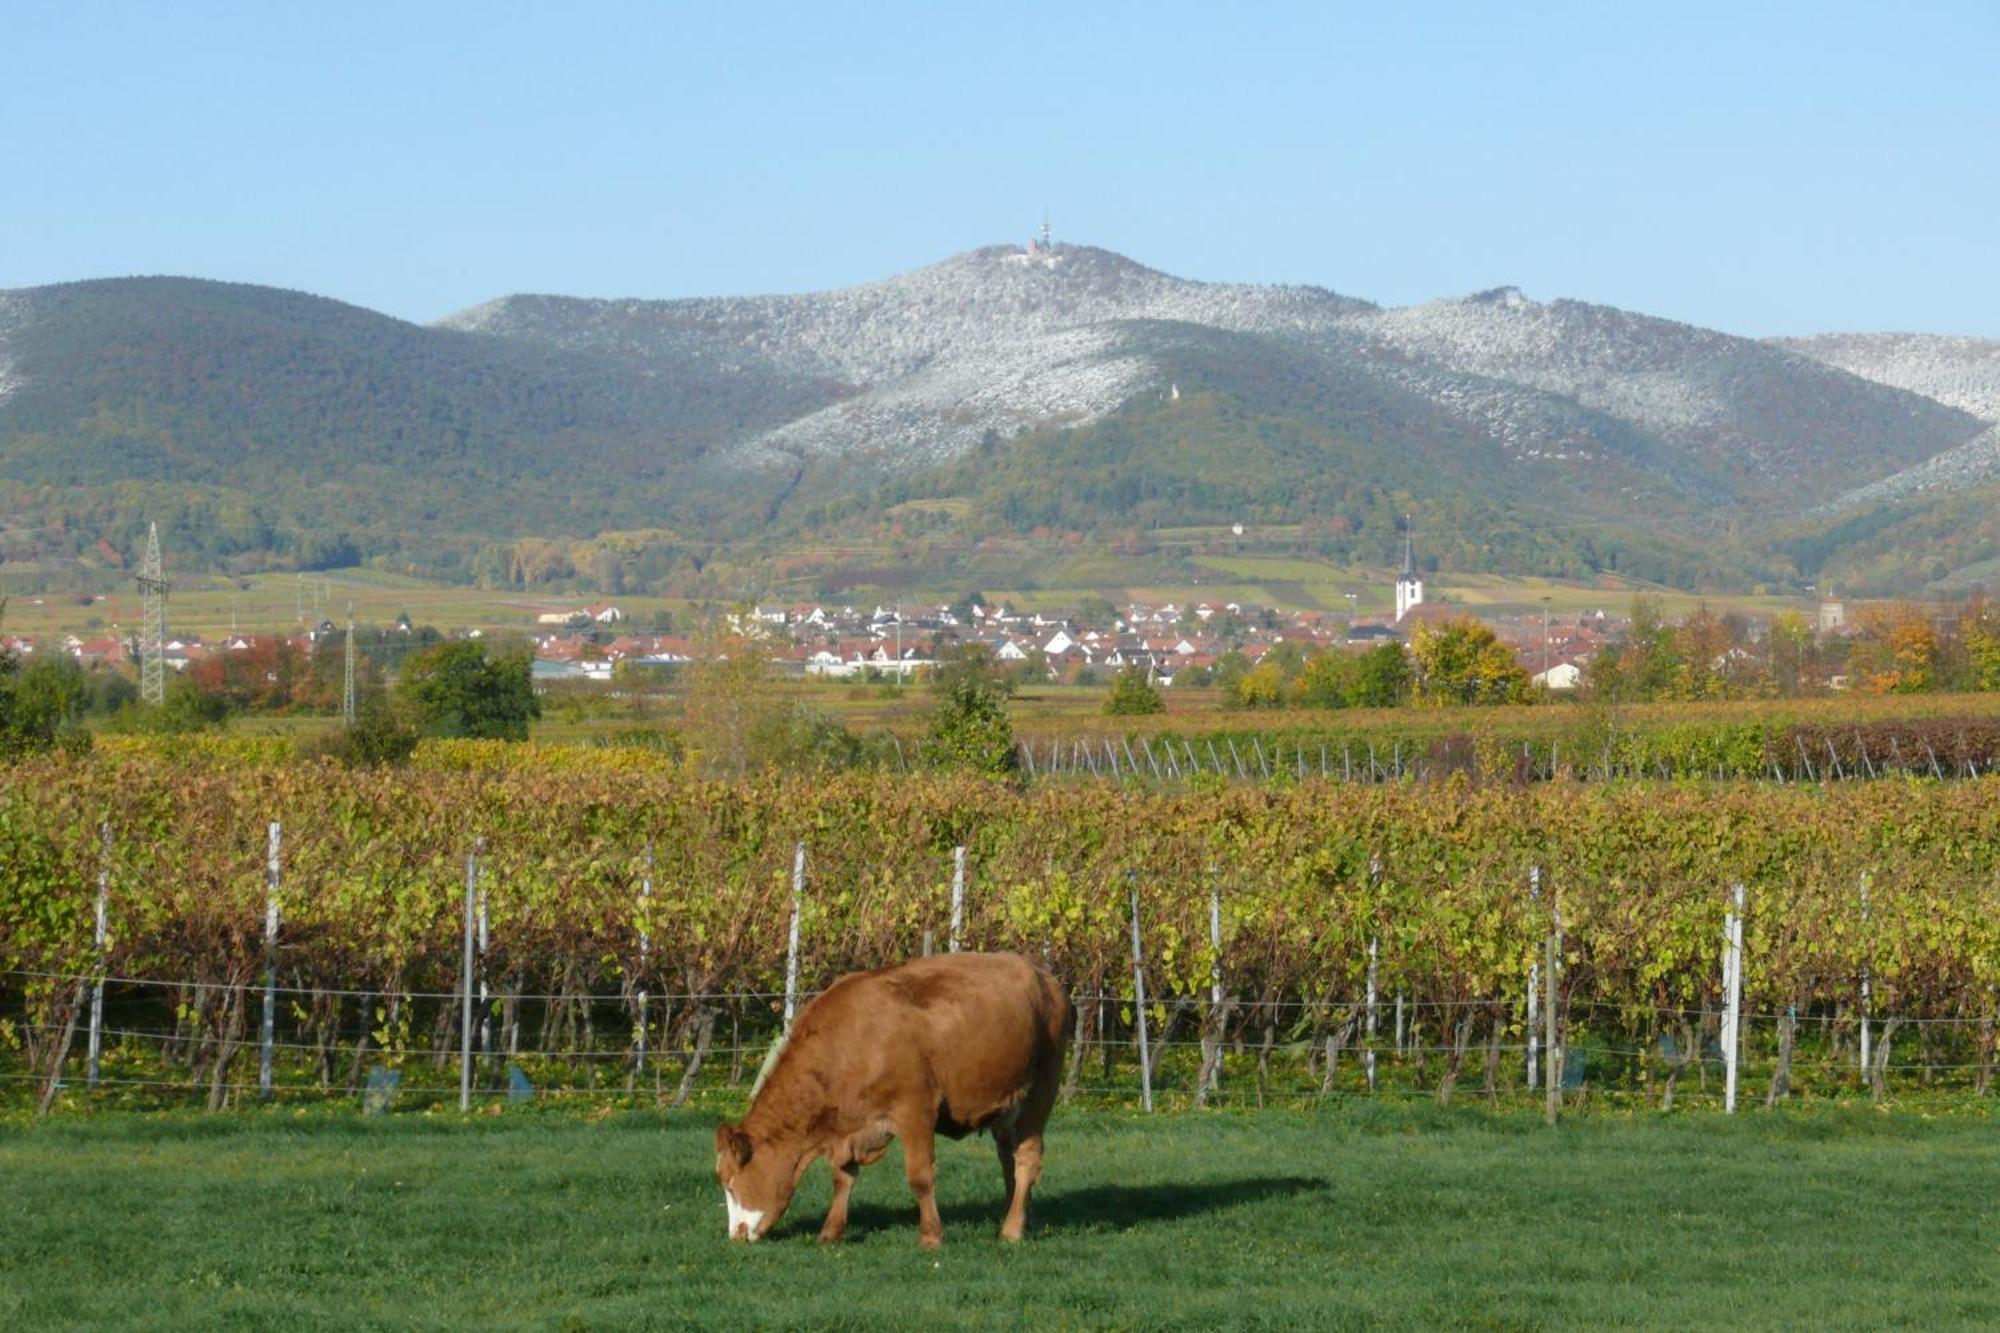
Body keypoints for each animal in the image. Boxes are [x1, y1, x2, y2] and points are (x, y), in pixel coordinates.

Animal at [712, 948, 1072, 1240]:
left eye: (729, 1183)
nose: (735, 1236)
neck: (852, 1043)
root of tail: (1043, 975)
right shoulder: (848, 1125)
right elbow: (843, 1177)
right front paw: (830, 1232)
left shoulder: (915, 1110)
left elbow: (921, 1177)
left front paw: (931, 1236)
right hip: (1006, 1106)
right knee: (1008, 1158)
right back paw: (1018, 1217)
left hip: (1041, 1091)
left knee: (1027, 1158)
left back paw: (1011, 1231)